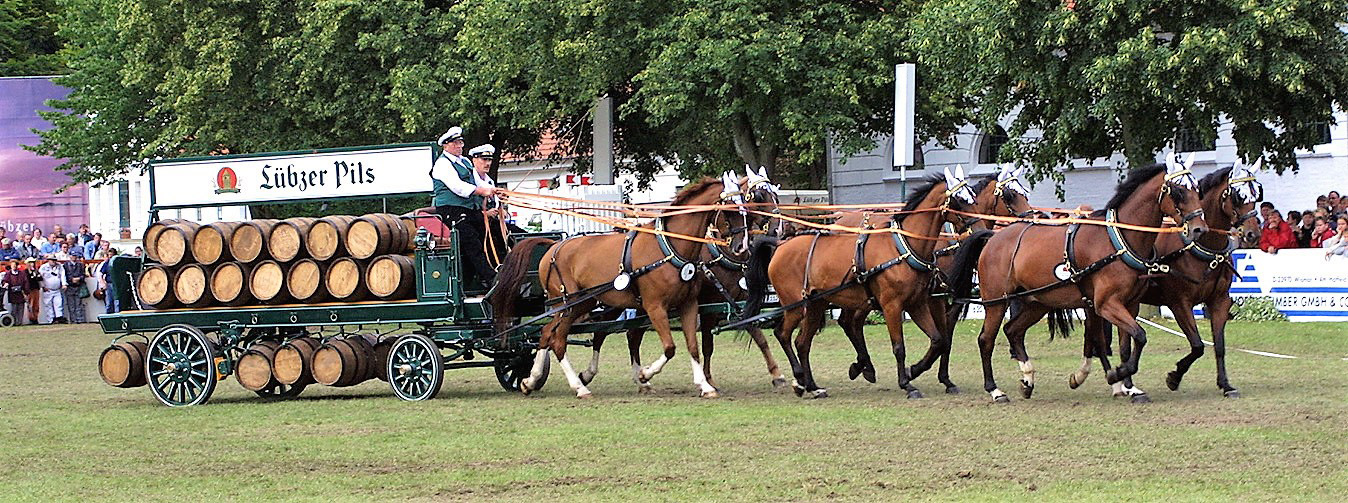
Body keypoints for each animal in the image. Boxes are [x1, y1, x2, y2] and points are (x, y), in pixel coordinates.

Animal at [493, 173, 771, 396]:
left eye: (746, 209)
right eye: (730, 210)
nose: (742, 247)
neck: (670, 246)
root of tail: (554, 246)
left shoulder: (689, 305)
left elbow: (692, 347)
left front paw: (704, 385)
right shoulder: (655, 307)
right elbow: (670, 347)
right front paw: (645, 373)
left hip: (582, 304)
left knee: (547, 334)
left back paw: (531, 380)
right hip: (567, 304)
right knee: (558, 341)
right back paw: (578, 386)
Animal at [749, 166, 981, 396]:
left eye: (973, 197)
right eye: (960, 200)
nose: (979, 231)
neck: (903, 246)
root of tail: (781, 244)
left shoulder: (917, 303)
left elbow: (938, 340)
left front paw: (914, 370)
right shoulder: (892, 306)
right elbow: (899, 347)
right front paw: (906, 383)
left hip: (816, 304)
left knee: (802, 342)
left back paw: (813, 386)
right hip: (795, 306)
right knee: (783, 334)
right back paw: (799, 379)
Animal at [830, 164, 1029, 391]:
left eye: (1024, 193)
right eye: (1011, 195)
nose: (1032, 216)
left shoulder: (949, 299)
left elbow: (944, 339)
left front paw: (944, 378)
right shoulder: (935, 298)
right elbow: (942, 338)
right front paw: (921, 373)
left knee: (849, 322)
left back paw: (864, 366)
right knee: (850, 322)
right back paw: (864, 366)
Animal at [948, 158, 1213, 401]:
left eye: (1197, 189)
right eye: (1178, 191)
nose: (1200, 229)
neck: (1117, 240)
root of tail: (993, 237)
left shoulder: (1127, 305)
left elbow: (1124, 344)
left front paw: (1125, 385)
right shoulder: (1106, 304)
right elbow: (1138, 336)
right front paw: (1116, 376)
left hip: (1038, 302)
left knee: (1013, 330)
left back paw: (1027, 379)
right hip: (996, 302)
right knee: (986, 340)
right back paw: (994, 389)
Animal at [1073, 164, 1261, 399]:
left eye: (1257, 194)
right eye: (1237, 196)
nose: (1253, 233)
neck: (1199, 248)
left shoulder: (1219, 301)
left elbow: (1219, 345)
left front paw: (1226, 385)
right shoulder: (1180, 304)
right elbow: (1197, 345)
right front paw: (1174, 377)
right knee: (1098, 339)